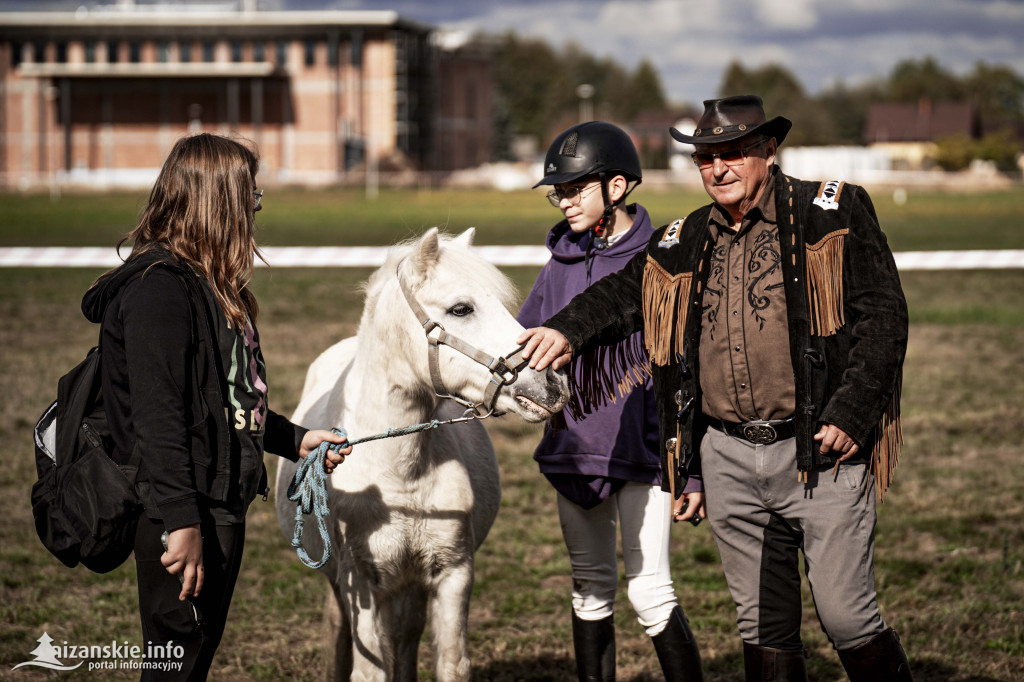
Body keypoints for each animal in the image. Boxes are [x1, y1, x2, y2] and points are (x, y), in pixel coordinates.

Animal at [276, 225, 573, 675]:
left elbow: (450, 662)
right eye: (461, 309)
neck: (401, 475)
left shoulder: (452, 574)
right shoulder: (360, 582)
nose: (553, 383)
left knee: (407, 638)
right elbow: (370, 669)